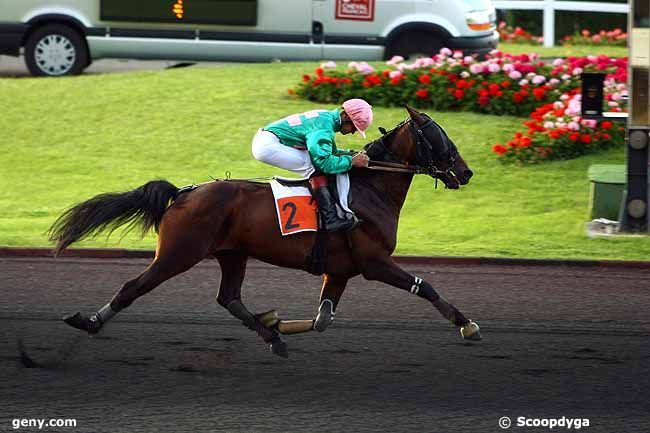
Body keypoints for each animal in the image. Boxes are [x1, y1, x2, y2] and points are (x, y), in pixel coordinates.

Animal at [49, 106, 476, 356]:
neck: (370, 189)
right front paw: (465, 323)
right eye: (438, 136)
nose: (466, 172)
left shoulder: (339, 270)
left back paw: (272, 336)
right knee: (133, 287)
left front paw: (276, 322)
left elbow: (323, 319)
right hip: (178, 253)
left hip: (232, 254)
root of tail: (183, 193)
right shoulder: (375, 263)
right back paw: (89, 322)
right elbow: (425, 286)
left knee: (229, 298)